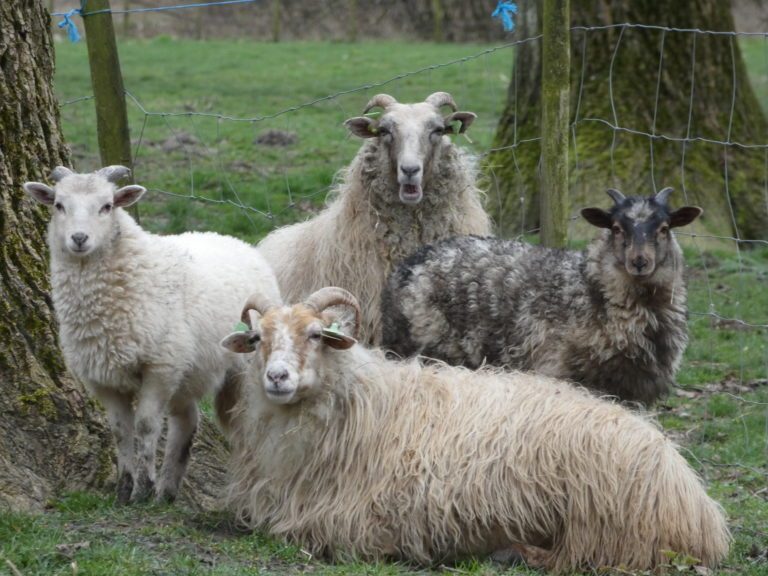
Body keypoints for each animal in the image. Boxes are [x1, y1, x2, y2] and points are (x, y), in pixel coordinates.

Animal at [219, 286, 728, 572]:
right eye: (259, 339)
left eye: (314, 335)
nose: (277, 377)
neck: (366, 402)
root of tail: (699, 506)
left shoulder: (357, 523)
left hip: (604, 519)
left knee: (592, 556)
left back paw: (514, 553)